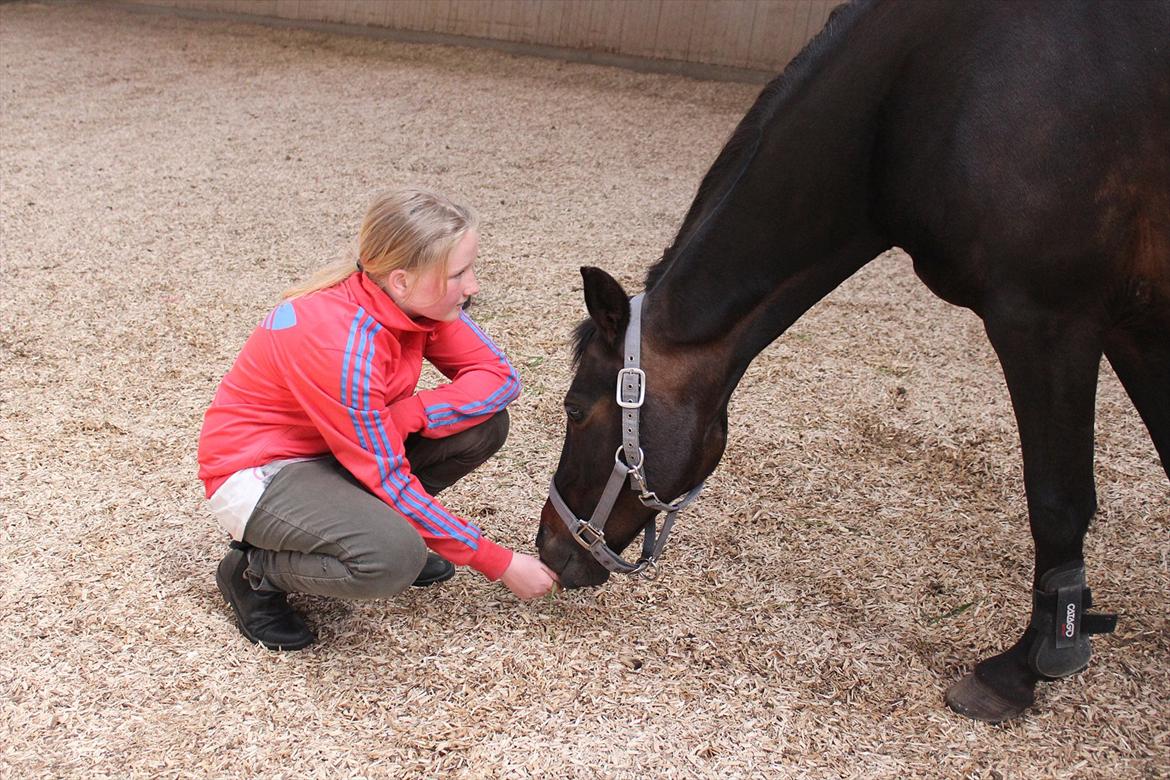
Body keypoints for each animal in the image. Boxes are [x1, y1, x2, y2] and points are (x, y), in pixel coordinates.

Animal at [535, 0, 1170, 725]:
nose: (549, 547)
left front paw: (1021, 669)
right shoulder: (1135, 323)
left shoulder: (1048, 319)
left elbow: (1058, 499)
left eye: (575, 409)